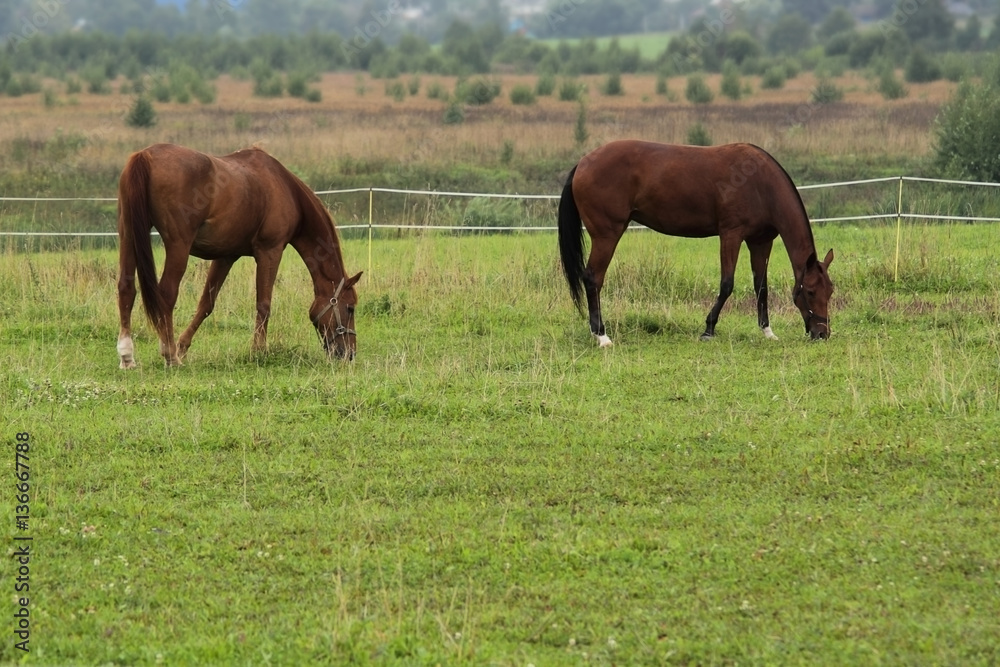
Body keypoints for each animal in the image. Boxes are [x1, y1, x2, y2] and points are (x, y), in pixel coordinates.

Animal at [116, 143, 362, 368]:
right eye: (350, 308)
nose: (349, 354)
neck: (284, 187)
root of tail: (146, 155)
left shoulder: (225, 257)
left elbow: (206, 304)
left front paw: (183, 346)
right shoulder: (270, 252)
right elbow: (263, 304)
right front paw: (258, 351)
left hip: (128, 236)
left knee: (126, 288)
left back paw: (128, 356)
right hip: (178, 246)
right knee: (166, 294)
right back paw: (170, 356)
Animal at [560, 141, 832, 350]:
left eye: (830, 291)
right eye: (810, 291)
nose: (822, 333)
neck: (760, 184)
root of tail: (583, 163)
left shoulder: (760, 241)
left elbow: (761, 287)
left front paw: (767, 332)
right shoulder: (731, 234)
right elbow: (727, 283)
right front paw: (708, 329)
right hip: (607, 235)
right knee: (593, 278)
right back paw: (602, 336)